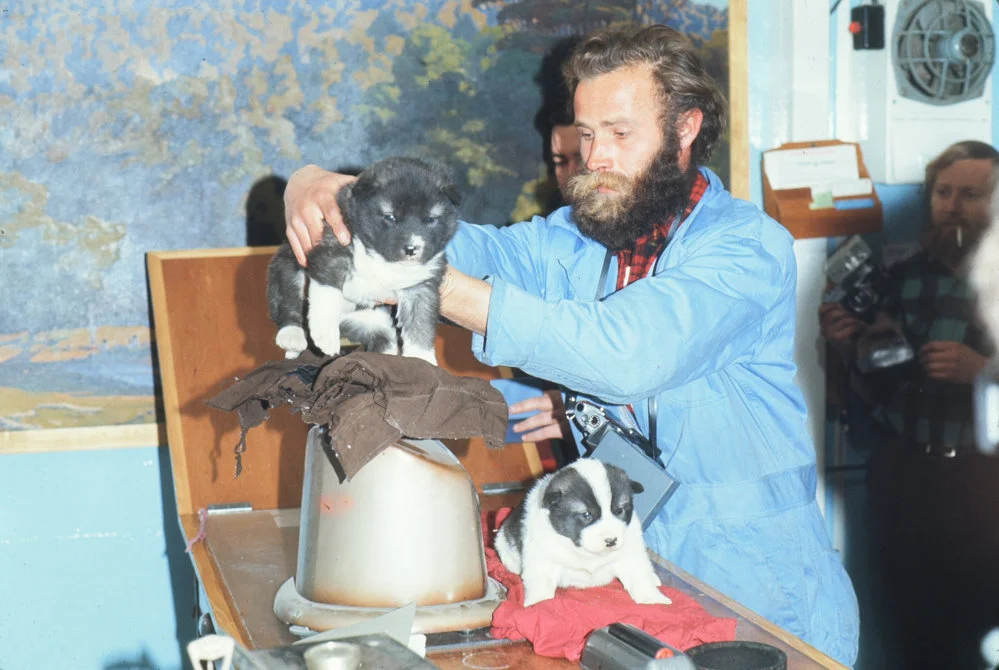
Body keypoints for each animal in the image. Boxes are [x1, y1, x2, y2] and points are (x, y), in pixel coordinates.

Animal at [270, 158, 464, 368]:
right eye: (390, 217)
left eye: (430, 219)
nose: (412, 249)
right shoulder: (332, 251)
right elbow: (327, 293)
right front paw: (326, 336)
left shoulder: (422, 285)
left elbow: (420, 322)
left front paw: (421, 360)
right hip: (288, 267)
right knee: (289, 301)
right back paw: (292, 336)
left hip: (370, 320)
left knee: (383, 338)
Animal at [494, 456, 672, 608]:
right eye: (586, 514)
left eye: (619, 510)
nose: (611, 541)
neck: (586, 553)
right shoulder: (541, 559)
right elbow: (540, 584)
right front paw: (538, 604)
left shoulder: (630, 553)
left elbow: (639, 576)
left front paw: (653, 599)